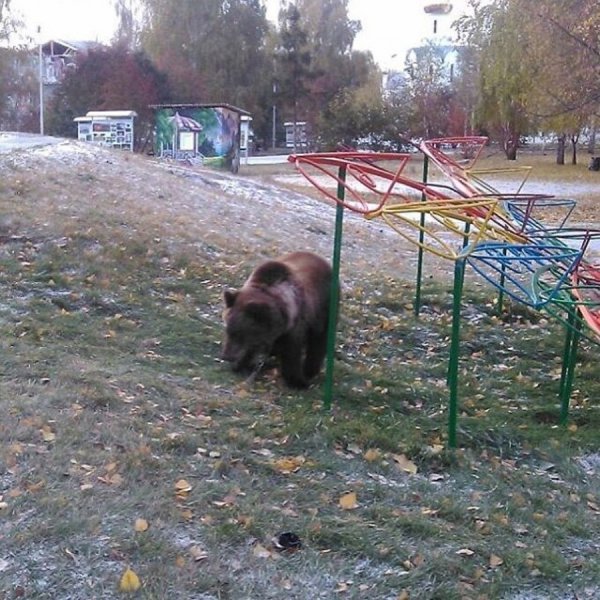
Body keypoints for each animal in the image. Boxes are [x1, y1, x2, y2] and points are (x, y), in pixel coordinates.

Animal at [220, 250, 336, 386]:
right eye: (228, 330)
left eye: (239, 333)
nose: (226, 356)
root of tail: (323, 261)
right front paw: (241, 364)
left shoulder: (296, 325)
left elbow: (292, 353)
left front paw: (298, 381)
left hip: (324, 308)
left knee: (319, 341)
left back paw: (310, 371)